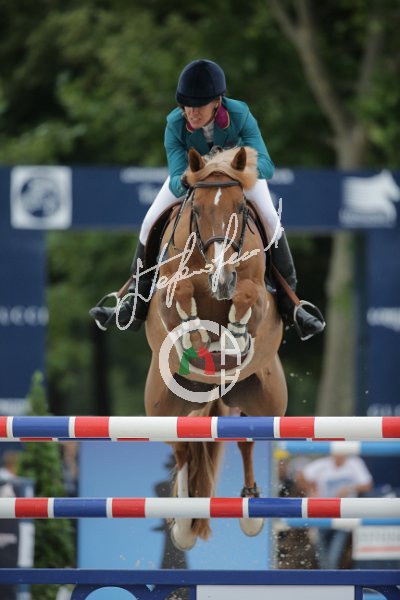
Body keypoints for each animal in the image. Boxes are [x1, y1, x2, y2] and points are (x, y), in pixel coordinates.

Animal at [144, 146, 288, 550]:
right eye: (197, 210)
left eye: (241, 208)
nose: (222, 277)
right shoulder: (166, 292)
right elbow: (180, 291)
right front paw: (196, 335)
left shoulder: (259, 296)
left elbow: (249, 295)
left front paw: (232, 335)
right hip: (162, 404)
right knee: (180, 447)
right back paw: (181, 520)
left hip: (267, 400)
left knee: (248, 439)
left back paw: (251, 511)